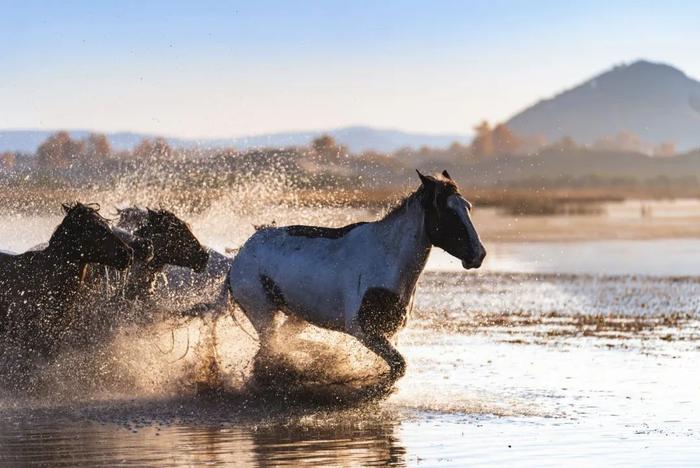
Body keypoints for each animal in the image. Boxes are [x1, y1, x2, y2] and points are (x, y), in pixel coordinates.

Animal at [230, 170, 486, 386]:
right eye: (448, 212)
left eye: (468, 207)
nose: (479, 254)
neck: (388, 259)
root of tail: (240, 255)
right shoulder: (364, 330)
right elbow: (399, 366)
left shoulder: (390, 331)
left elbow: (398, 366)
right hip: (263, 314)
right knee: (268, 352)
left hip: (297, 317)